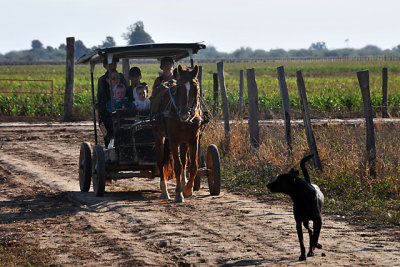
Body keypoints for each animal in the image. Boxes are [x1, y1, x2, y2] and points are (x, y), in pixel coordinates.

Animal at [152, 64, 205, 203]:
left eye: (195, 88)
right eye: (179, 87)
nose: (184, 114)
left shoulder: (193, 139)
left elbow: (193, 166)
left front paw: (187, 190)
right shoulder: (174, 140)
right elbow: (177, 166)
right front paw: (178, 194)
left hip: (184, 141)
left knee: (184, 160)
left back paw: (183, 183)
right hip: (159, 135)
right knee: (161, 161)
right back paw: (164, 191)